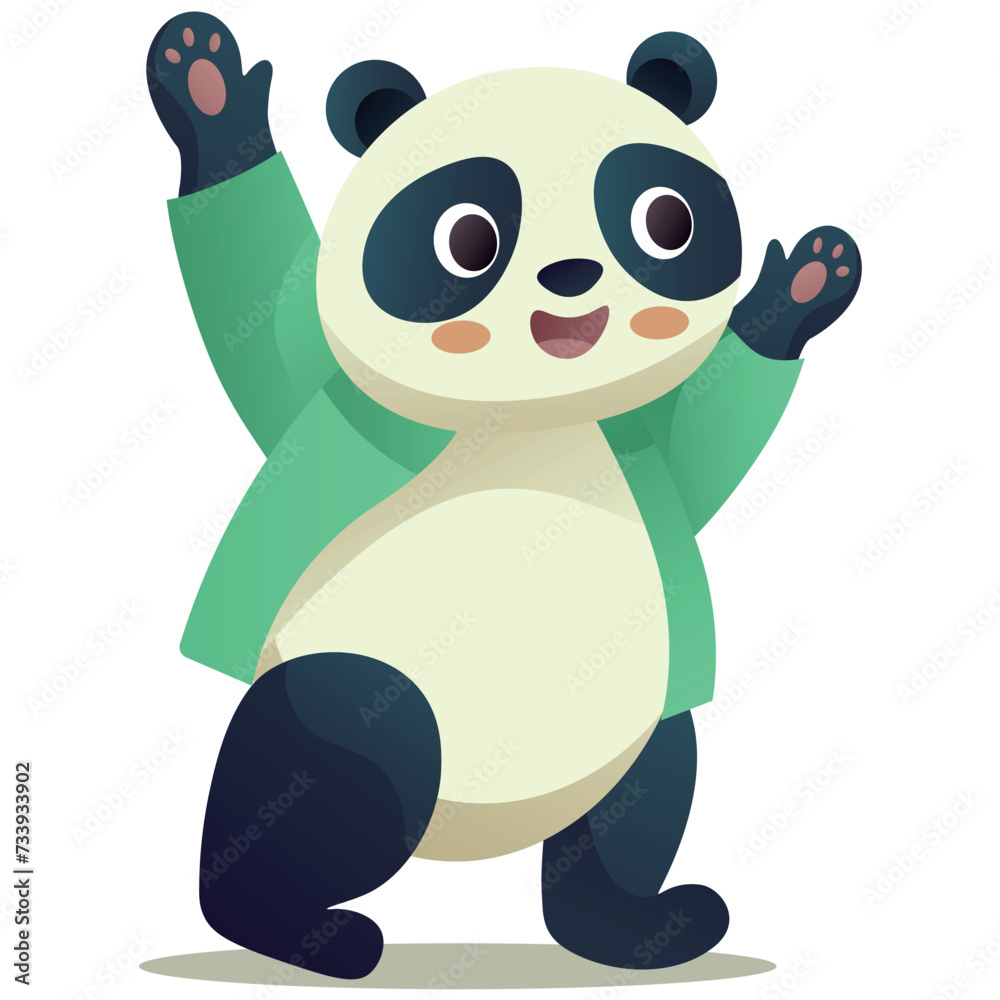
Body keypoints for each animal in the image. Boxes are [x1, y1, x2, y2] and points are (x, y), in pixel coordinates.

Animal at [147, 11, 861, 981]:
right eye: (467, 237)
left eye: (665, 221)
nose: (570, 280)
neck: (528, 424)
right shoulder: (333, 407)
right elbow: (262, 335)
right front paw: (208, 94)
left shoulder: (642, 449)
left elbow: (709, 445)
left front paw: (802, 289)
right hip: (353, 692)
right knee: (344, 759)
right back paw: (300, 929)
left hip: (634, 719)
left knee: (639, 796)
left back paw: (633, 928)